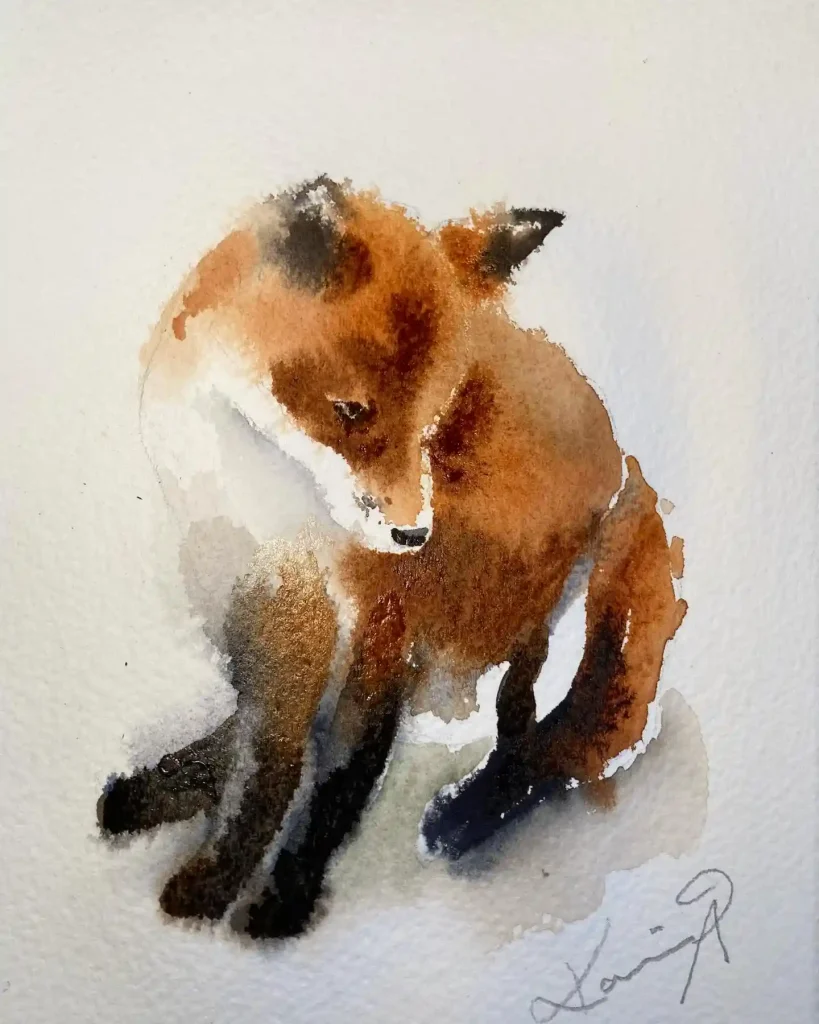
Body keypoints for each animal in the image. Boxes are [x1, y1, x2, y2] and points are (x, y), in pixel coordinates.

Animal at [98, 176, 687, 939]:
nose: (413, 537)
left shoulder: (381, 624)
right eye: (351, 411)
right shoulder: (265, 595)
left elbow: (332, 778)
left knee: (542, 730)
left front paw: (273, 897)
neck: (264, 500)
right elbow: (266, 749)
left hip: (571, 605)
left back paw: (468, 814)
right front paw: (205, 834)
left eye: (433, 421)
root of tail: (623, 454)